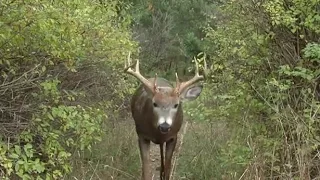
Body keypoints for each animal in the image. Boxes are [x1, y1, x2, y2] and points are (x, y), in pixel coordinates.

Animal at [124, 52, 205, 180]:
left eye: (176, 104)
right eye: (154, 103)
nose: (165, 126)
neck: (157, 133)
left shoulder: (173, 136)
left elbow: (168, 168)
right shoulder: (141, 135)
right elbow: (146, 169)